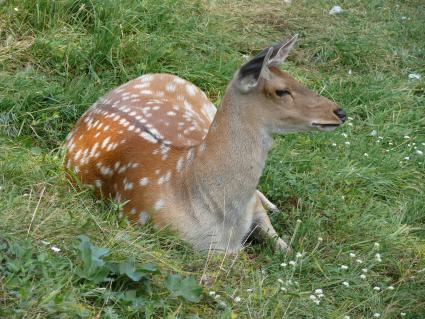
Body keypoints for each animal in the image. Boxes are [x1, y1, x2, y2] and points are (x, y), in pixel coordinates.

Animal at [65, 35, 344, 254]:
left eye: (296, 78)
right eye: (282, 91)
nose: (339, 111)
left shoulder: (252, 210)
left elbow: (286, 248)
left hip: (206, 105)